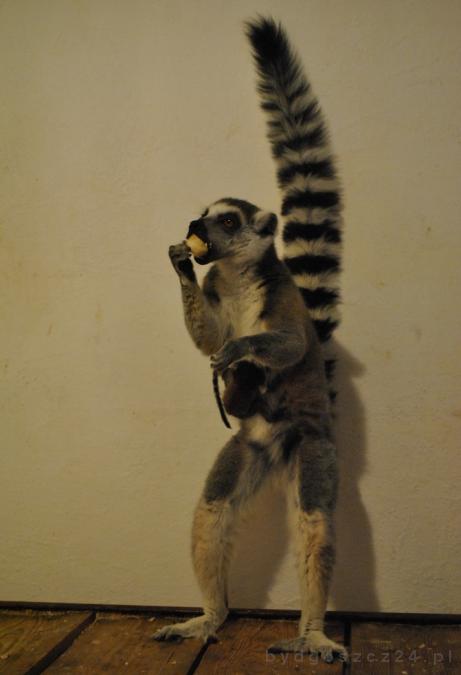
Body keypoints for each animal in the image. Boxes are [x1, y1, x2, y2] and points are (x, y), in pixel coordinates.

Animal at [153, 17, 347, 663]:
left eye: (230, 220)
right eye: (204, 216)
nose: (194, 231)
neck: (238, 278)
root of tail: (280, 446)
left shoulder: (280, 297)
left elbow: (287, 345)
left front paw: (241, 353)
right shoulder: (217, 290)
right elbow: (206, 332)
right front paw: (179, 265)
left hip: (314, 445)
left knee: (315, 522)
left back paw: (311, 632)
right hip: (248, 447)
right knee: (213, 508)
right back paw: (209, 617)